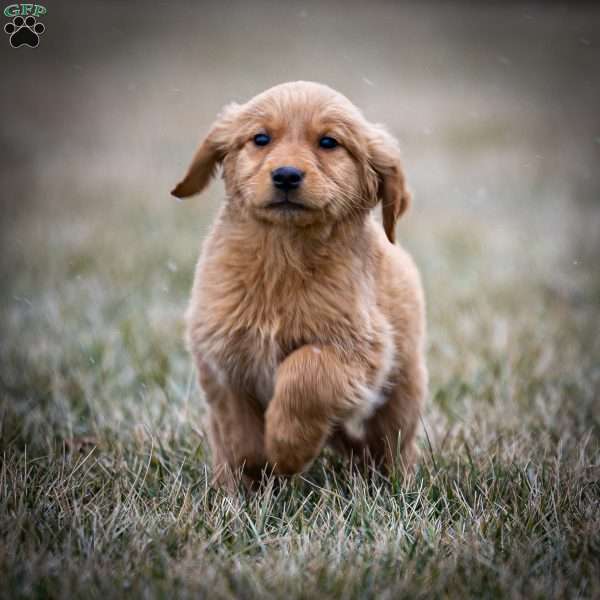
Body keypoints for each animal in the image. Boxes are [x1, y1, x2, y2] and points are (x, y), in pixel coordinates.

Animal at [171, 82, 428, 490]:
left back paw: (394, 482)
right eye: (261, 138)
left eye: (329, 142)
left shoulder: (361, 349)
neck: (282, 257)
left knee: (393, 442)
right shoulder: (219, 350)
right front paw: (252, 468)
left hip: (405, 386)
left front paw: (286, 448)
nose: (287, 175)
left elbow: (305, 373)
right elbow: (235, 425)